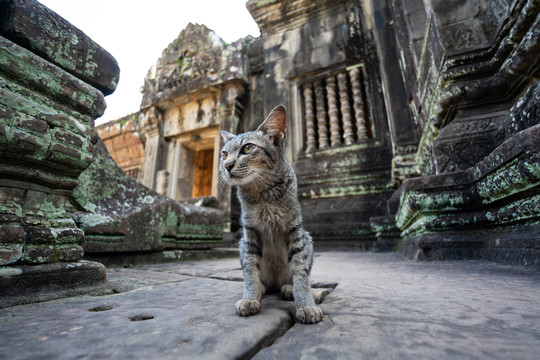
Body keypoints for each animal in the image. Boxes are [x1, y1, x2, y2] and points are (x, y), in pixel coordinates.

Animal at [218, 104, 322, 324]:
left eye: (247, 148)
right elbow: (250, 272)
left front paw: (306, 304)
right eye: (224, 154)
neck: (263, 195)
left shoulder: (295, 231)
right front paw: (250, 298)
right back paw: (262, 288)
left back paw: (288, 288)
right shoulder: (249, 235)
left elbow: (301, 272)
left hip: (307, 240)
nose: (227, 165)